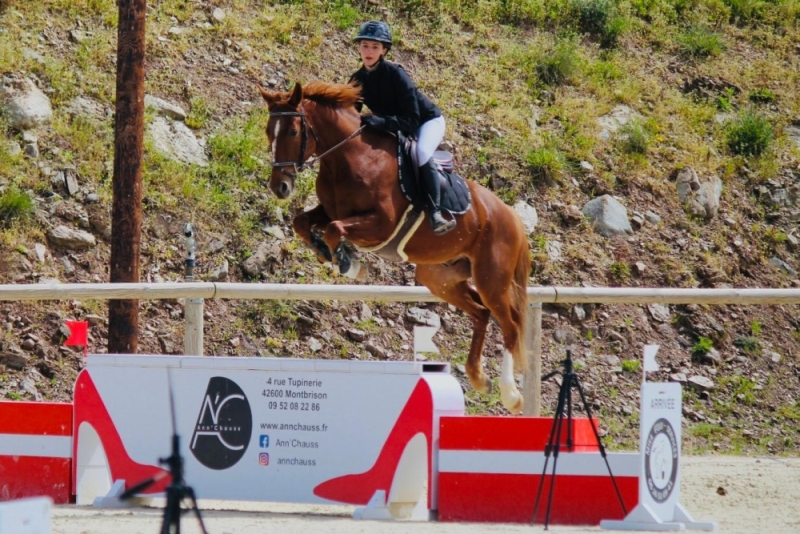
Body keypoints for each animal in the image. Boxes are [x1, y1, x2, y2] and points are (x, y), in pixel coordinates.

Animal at [258, 80, 532, 414]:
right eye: (269, 131)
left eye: (293, 132)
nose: (279, 187)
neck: (349, 157)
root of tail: (513, 218)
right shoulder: (329, 210)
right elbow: (302, 223)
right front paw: (330, 255)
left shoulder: (380, 224)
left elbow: (336, 230)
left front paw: (350, 264)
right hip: (438, 277)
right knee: (480, 313)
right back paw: (478, 378)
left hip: (491, 279)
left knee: (510, 324)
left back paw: (511, 394)